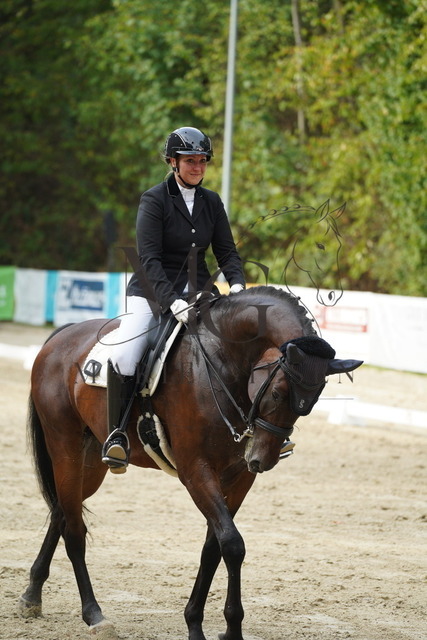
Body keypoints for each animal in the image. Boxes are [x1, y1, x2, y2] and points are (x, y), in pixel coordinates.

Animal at [19, 285, 362, 640]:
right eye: (278, 393)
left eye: (312, 402)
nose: (261, 460)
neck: (224, 362)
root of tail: (62, 335)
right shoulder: (196, 471)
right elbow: (232, 544)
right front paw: (224, 628)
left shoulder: (238, 477)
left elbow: (214, 546)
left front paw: (201, 622)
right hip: (65, 446)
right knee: (74, 530)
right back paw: (93, 614)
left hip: (91, 461)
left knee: (62, 512)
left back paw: (32, 595)